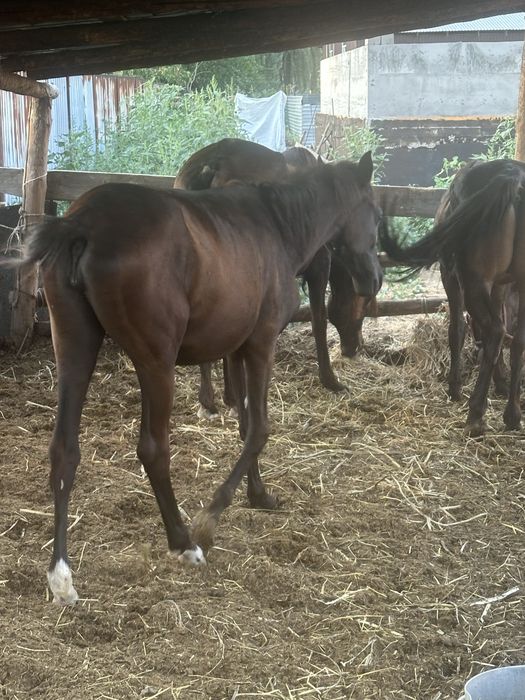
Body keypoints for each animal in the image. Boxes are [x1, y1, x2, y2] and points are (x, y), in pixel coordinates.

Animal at [175, 138, 377, 417]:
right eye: (364, 305)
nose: (352, 348)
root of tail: (209, 166)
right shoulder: (318, 267)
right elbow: (319, 320)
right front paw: (329, 379)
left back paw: (213, 398)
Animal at [379, 158, 525, 436]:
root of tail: (512, 176)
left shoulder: (450, 277)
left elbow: (457, 329)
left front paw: (455, 387)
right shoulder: (501, 285)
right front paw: (500, 384)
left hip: (471, 281)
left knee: (494, 331)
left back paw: (475, 415)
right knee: (514, 337)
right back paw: (512, 414)